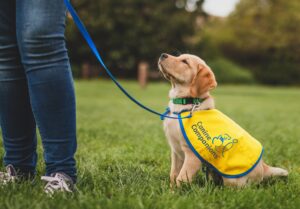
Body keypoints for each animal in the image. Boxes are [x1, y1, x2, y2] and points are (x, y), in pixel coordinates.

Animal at [158, 53, 290, 187]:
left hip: (232, 177)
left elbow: (181, 178)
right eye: (179, 56)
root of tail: (264, 167)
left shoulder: (192, 155)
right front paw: (171, 190)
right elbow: (173, 175)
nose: (163, 55)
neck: (185, 105)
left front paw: (179, 191)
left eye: (185, 62)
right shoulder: (176, 151)